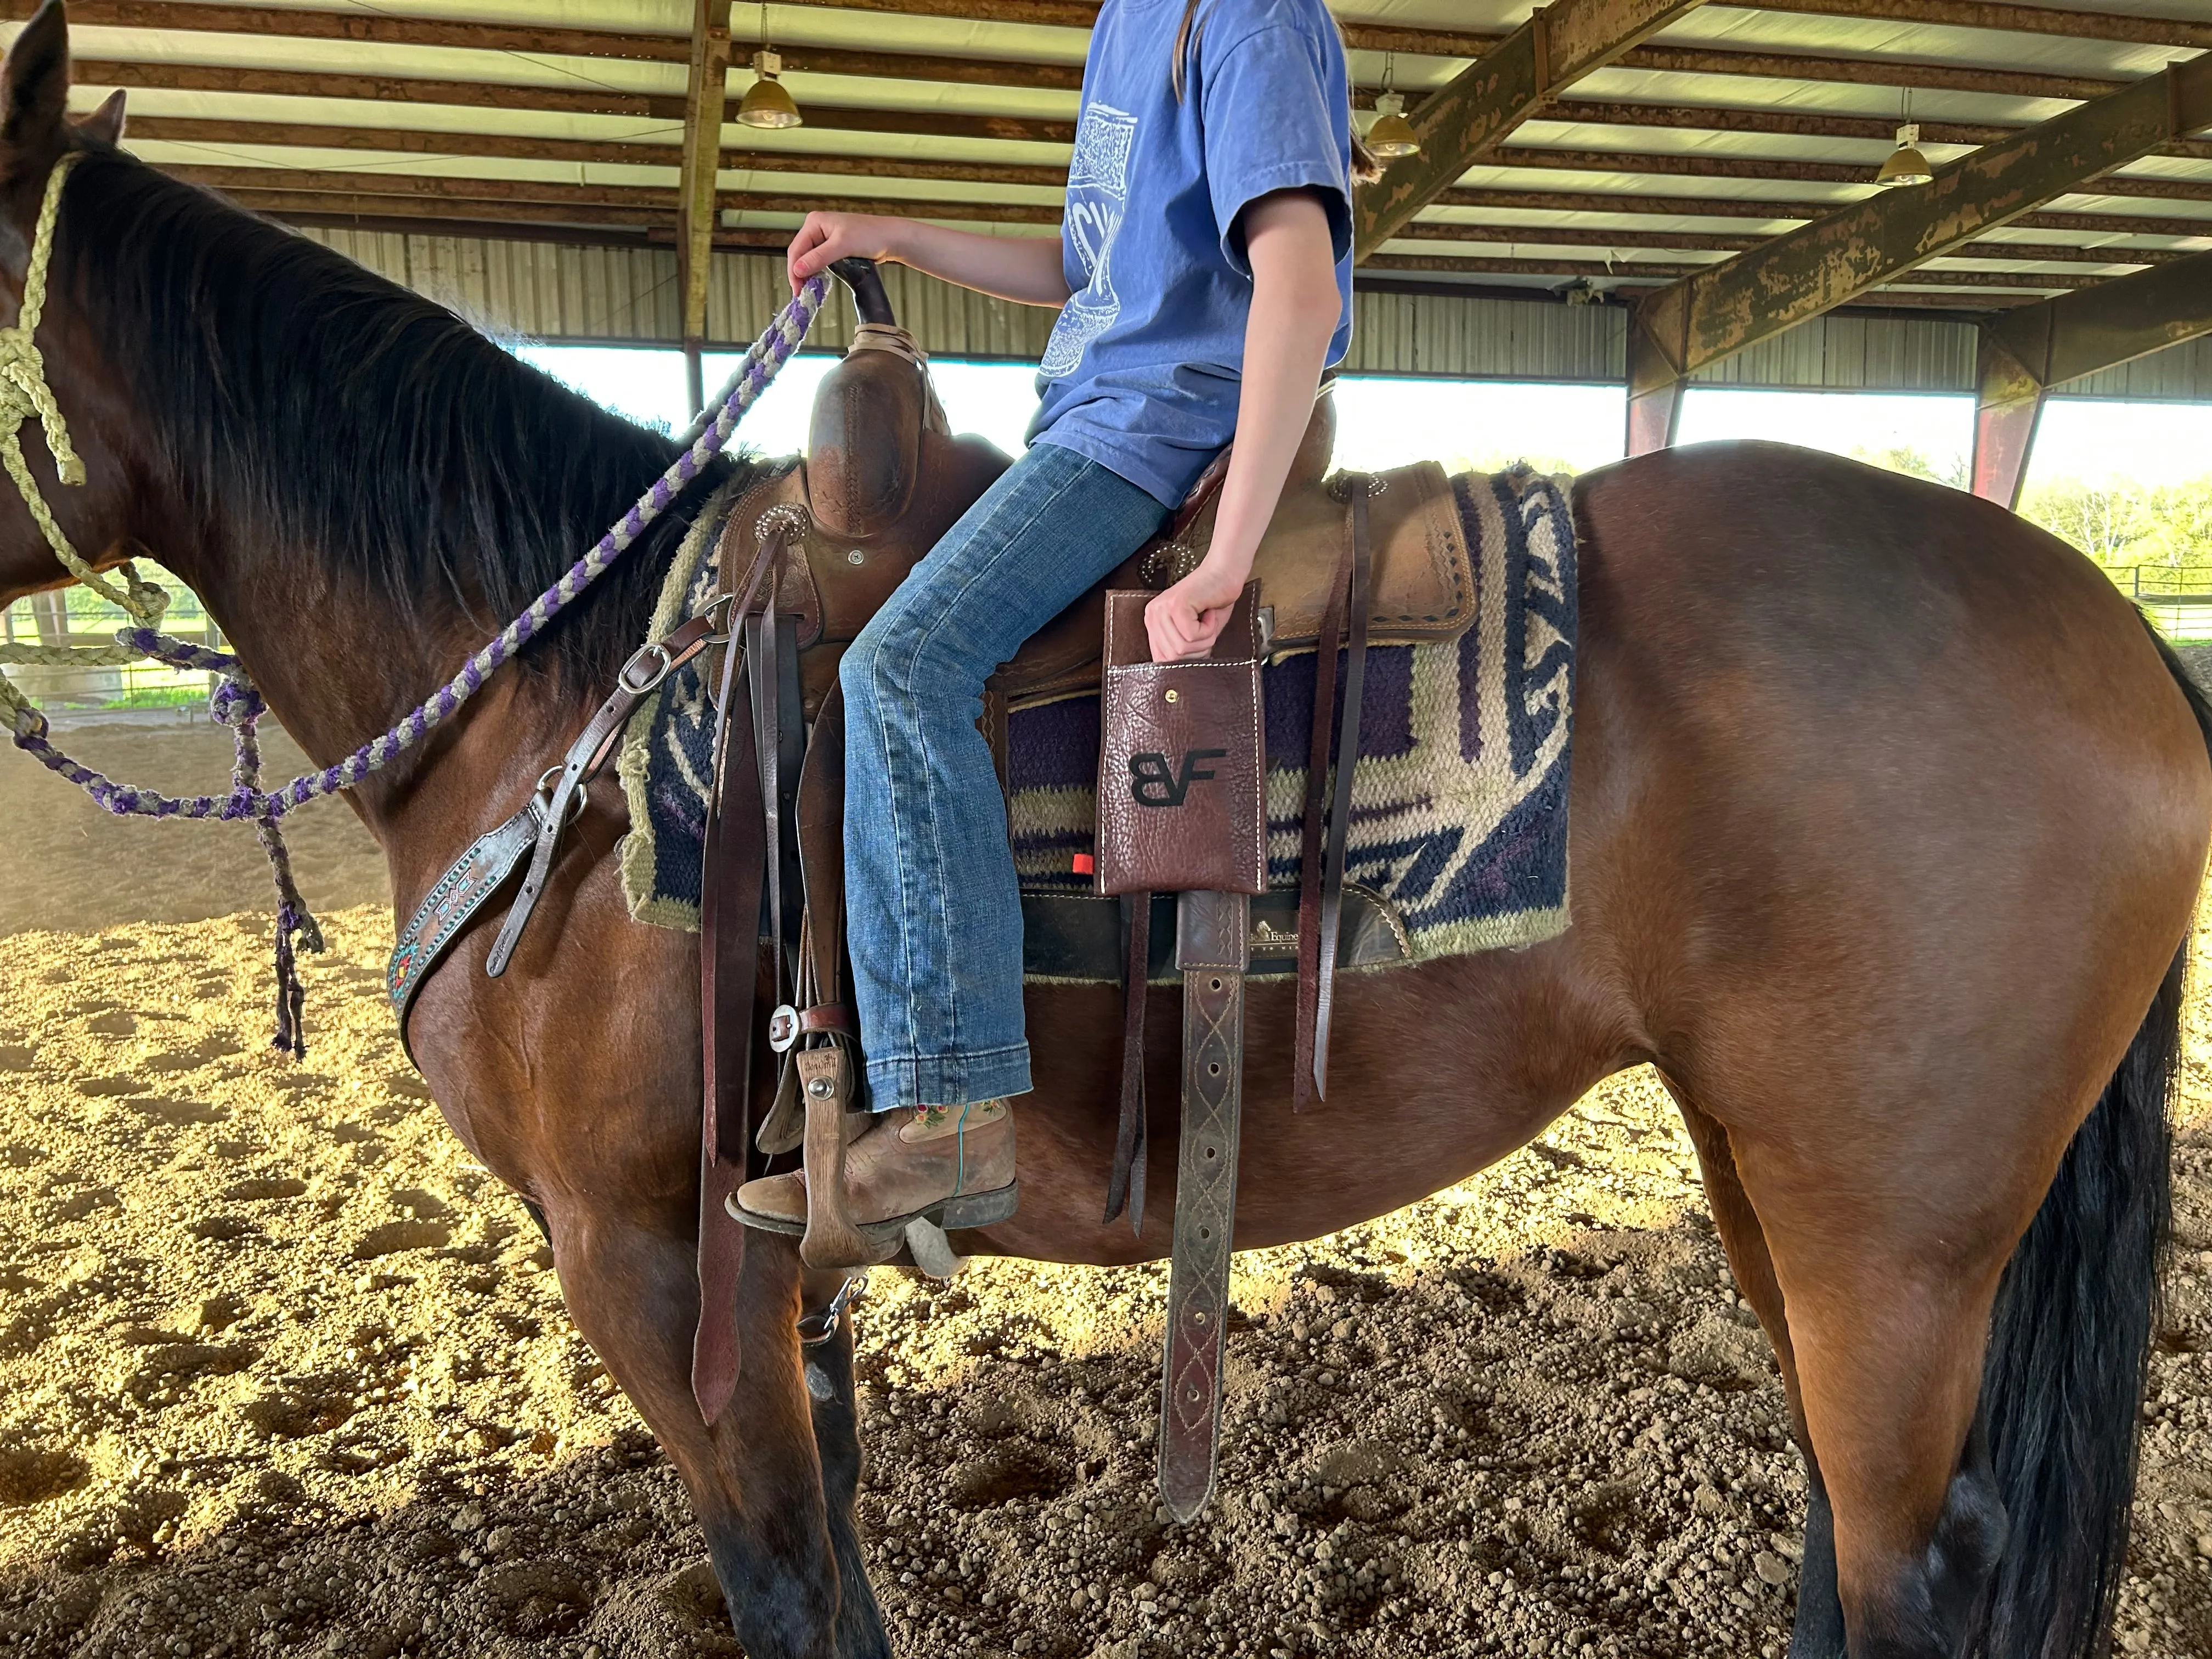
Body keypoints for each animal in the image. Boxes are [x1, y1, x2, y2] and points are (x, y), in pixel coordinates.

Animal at [4, 9, 2212, 1654]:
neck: (557, 697)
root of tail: (2109, 626)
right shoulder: (773, 1277)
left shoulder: (642, 1258)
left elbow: (786, 1588)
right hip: (1774, 1173)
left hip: (1891, 1228)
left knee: (1910, 1561)